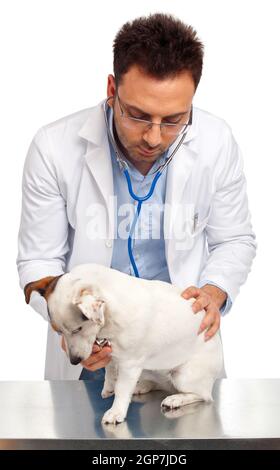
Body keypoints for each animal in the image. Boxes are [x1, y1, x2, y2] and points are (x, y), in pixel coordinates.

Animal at [25, 264, 224, 426]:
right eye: (58, 331)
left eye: (78, 329)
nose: (74, 361)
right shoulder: (114, 353)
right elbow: (110, 369)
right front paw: (108, 386)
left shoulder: (130, 363)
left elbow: (121, 388)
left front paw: (116, 412)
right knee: (161, 384)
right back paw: (142, 386)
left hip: (183, 376)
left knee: (203, 396)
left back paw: (176, 399)